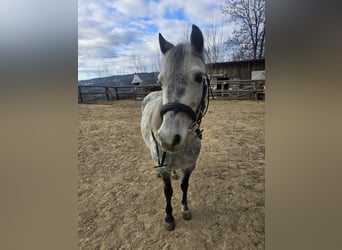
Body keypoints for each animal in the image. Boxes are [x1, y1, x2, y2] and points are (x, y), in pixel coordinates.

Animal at [140, 23, 210, 230]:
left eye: (199, 77)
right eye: (160, 80)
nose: (168, 139)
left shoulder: (190, 166)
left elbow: (184, 186)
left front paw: (185, 209)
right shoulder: (164, 168)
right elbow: (168, 192)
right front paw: (169, 217)